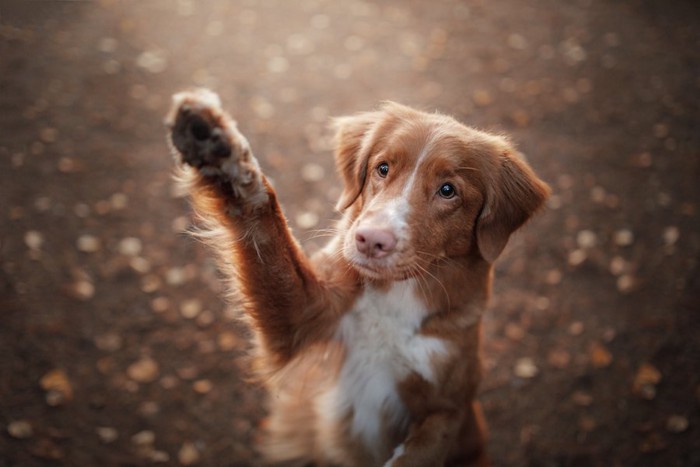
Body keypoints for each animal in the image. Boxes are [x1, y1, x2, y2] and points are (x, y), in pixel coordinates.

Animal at [167, 88, 548, 467]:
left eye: (448, 190)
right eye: (383, 168)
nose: (370, 240)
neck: (396, 300)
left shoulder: (449, 409)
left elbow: (416, 453)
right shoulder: (307, 315)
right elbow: (265, 226)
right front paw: (217, 147)